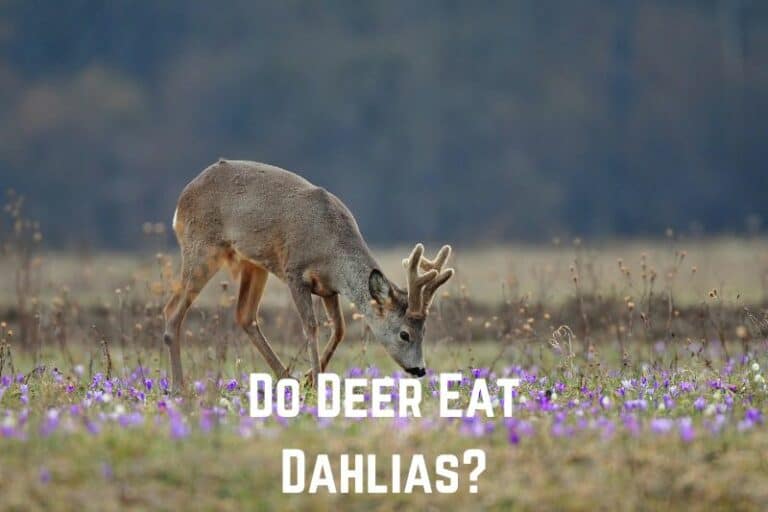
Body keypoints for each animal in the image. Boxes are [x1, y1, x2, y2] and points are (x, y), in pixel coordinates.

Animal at [163, 159, 454, 392]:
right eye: (404, 334)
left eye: (425, 330)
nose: (420, 369)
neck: (331, 248)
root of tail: (181, 201)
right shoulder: (295, 272)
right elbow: (311, 327)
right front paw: (314, 380)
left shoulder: (328, 288)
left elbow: (339, 329)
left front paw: (309, 377)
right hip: (202, 248)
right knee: (173, 310)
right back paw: (179, 387)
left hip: (253, 264)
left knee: (244, 315)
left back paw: (286, 377)